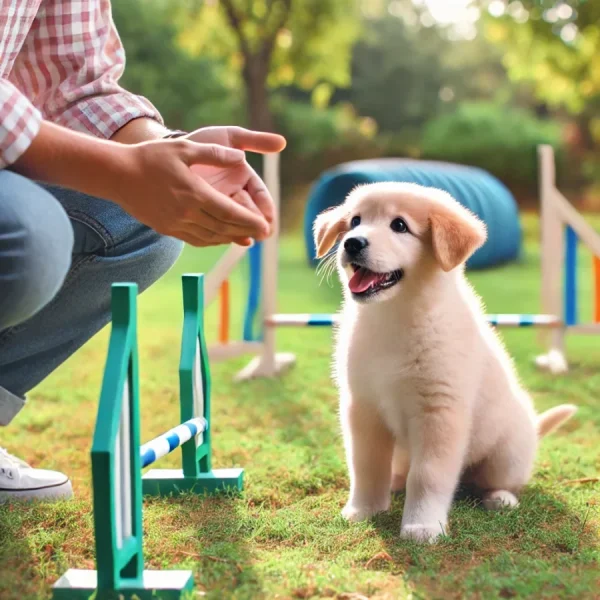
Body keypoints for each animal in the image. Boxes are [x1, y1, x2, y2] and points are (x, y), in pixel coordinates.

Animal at [314, 183, 576, 544]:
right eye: (355, 221)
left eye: (399, 225)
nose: (353, 242)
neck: (395, 316)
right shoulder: (363, 408)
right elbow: (366, 465)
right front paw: (364, 509)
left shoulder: (438, 411)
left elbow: (427, 475)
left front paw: (422, 526)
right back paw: (395, 483)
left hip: (506, 453)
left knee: (501, 481)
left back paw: (500, 498)